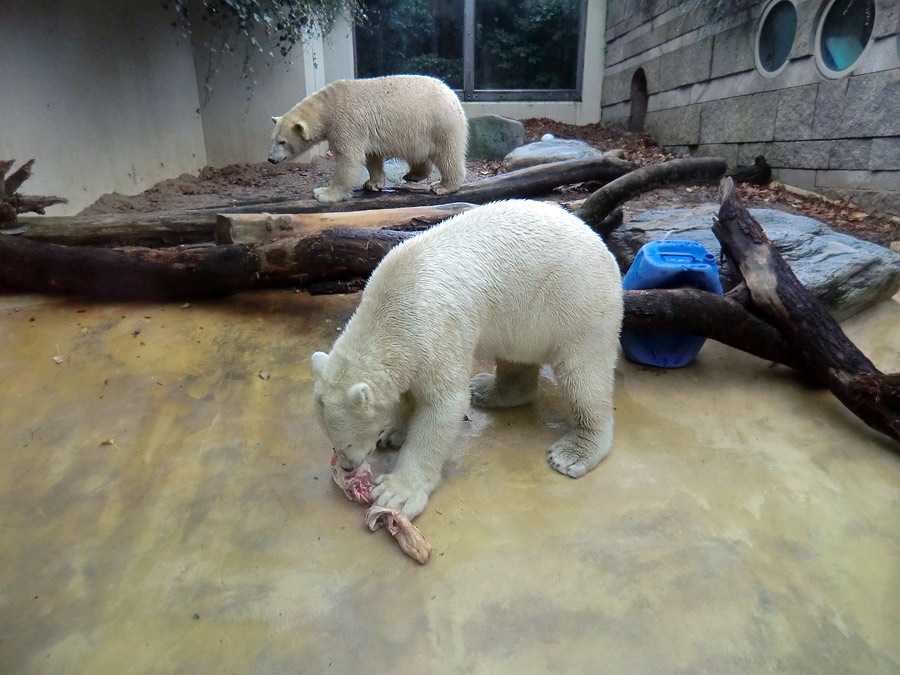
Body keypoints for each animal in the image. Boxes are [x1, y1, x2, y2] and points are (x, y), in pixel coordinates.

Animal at [268, 75, 468, 203]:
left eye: (282, 142)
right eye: (273, 138)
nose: (270, 159)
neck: (328, 106)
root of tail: (453, 95)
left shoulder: (345, 122)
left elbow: (349, 160)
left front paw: (323, 193)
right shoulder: (365, 130)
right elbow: (371, 156)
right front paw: (373, 184)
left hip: (439, 124)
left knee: (447, 155)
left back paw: (443, 186)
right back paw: (412, 174)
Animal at [308, 198, 620, 520]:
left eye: (346, 442)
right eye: (331, 438)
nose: (347, 467)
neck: (391, 306)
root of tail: (603, 247)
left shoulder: (434, 330)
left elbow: (443, 405)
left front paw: (397, 493)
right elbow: (409, 394)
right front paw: (391, 431)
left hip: (575, 303)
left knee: (583, 375)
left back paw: (574, 452)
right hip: (524, 317)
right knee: (516, 355)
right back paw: (487, 389)